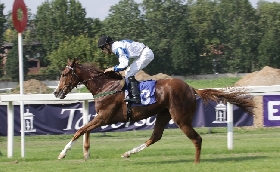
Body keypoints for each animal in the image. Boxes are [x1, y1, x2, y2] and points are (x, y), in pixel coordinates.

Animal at [53, 58, 255, 163]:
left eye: (64, 74)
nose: (56, 92)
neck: (106, 86)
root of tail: (191, 88)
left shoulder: (105, 117)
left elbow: (79, 130)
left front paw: (62, 153)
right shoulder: (102, 117)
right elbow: (85, 129)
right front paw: (86, 152)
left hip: (181, 118)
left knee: (197, 139)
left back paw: (196, 163)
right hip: (164, 114)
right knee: (155, 136)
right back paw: (128, 153)